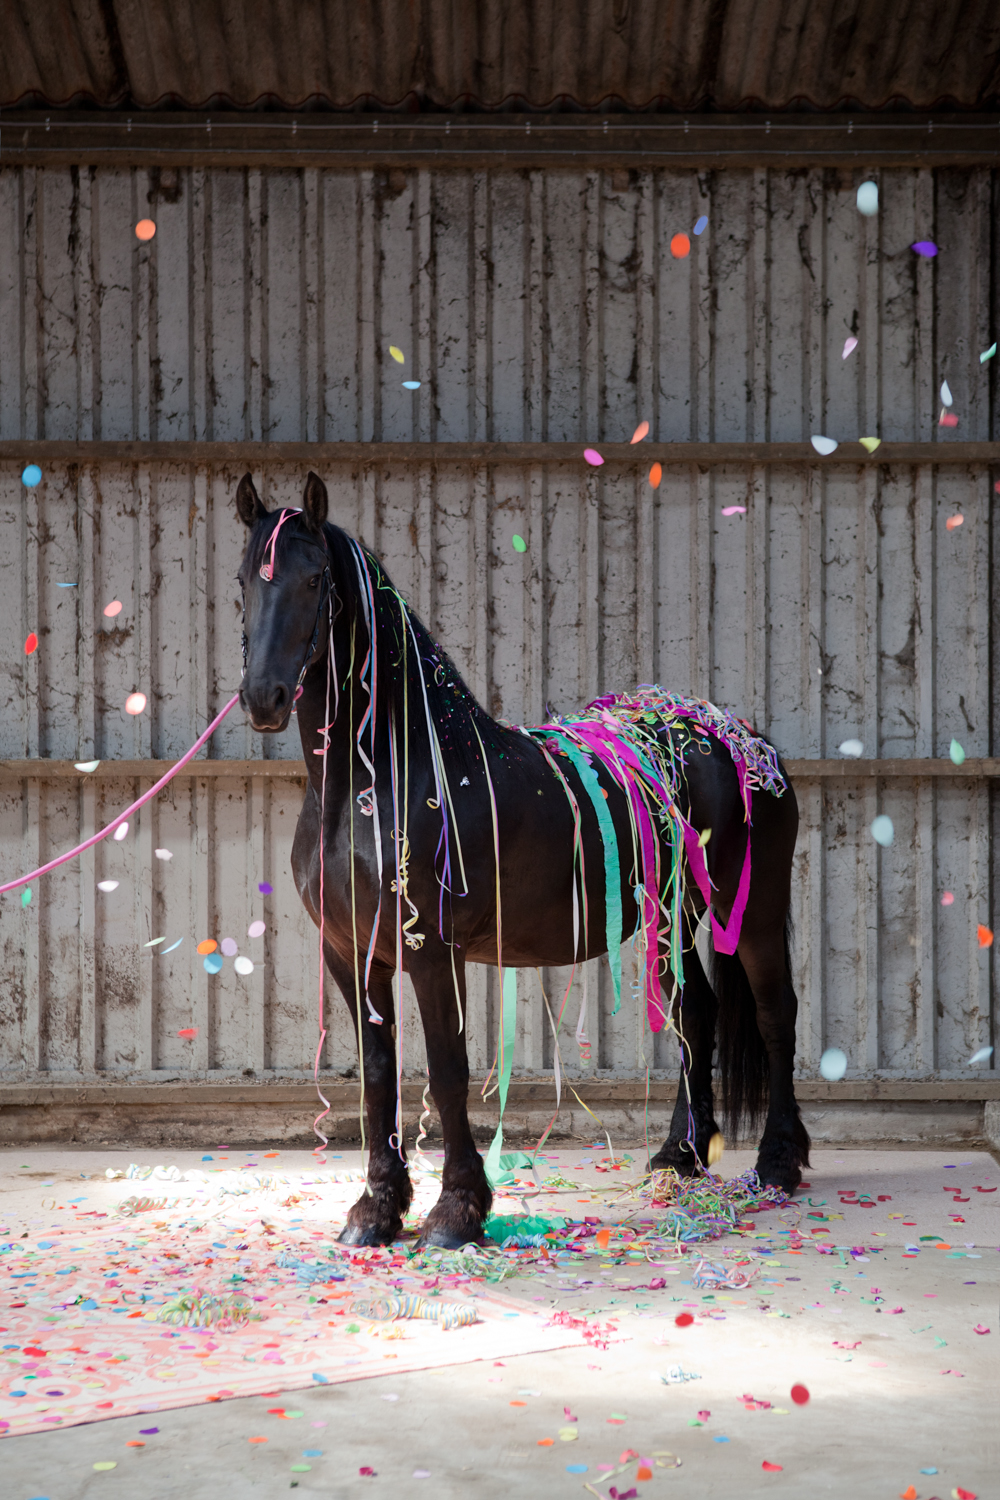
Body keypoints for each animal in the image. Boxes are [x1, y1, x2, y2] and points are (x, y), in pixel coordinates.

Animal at [236, 474, 815, 1248]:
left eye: (313, 578)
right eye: (245, 580)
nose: (263, 698)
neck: (384, 773)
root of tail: (741, 737)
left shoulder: (432, 951)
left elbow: (447, 1068)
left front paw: (455, 1211)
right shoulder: (351, 953)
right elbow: (379, 1072)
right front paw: (378, 1209)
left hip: (748, 908)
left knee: (776, 1013)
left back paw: (779, 1162)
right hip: (670, 916)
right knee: (696, 1012)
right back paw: (678, 1157)